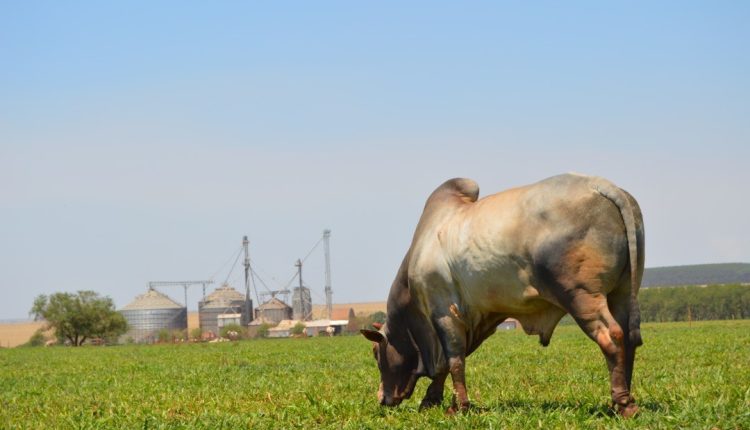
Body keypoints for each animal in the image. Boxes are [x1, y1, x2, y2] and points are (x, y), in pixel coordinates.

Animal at [364, 174, 648, 416]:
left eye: (377, 354)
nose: (382, 398)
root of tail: (601, 185)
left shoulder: (443, 312)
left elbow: (453, 361)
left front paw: (459, 407)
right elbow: (446, 364)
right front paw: (432, 401)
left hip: (580, 296)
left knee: (611, 336)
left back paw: (624, 404)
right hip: (623, 292)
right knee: (629, 339)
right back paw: (620, 399)